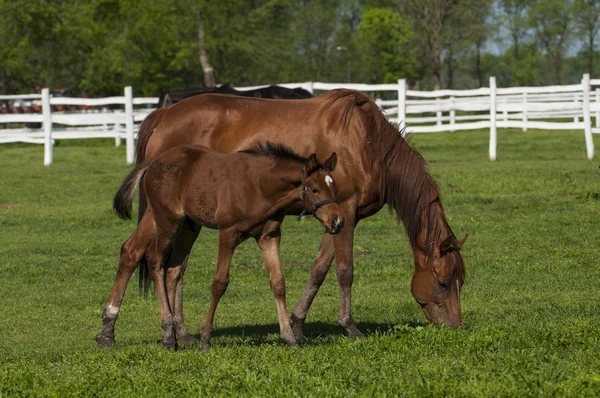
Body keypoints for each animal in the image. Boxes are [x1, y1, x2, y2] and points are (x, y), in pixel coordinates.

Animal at [96, 142, 344, 348]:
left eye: (335, 189)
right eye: (314, 189)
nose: (338, 222)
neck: (259, 187)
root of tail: (154, 162)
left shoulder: (270, 236)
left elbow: (278, 283)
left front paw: (289, 337)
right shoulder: (228, 233)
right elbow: (219, 283)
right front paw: (205, 337)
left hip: (180, 223)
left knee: (141, 255)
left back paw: (111, 332)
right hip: (167, 220)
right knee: (155, 261)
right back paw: (167, 335)